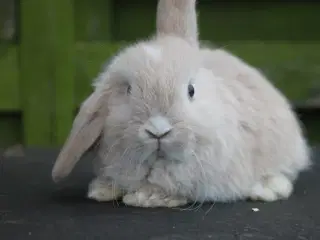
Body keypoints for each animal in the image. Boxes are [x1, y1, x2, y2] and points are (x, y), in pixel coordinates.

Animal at [51, 0, 312, 207]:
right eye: (128, 90)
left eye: (191, 90)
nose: (158, 130)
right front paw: (102, 190)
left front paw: (146, 198)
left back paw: (266, 189)